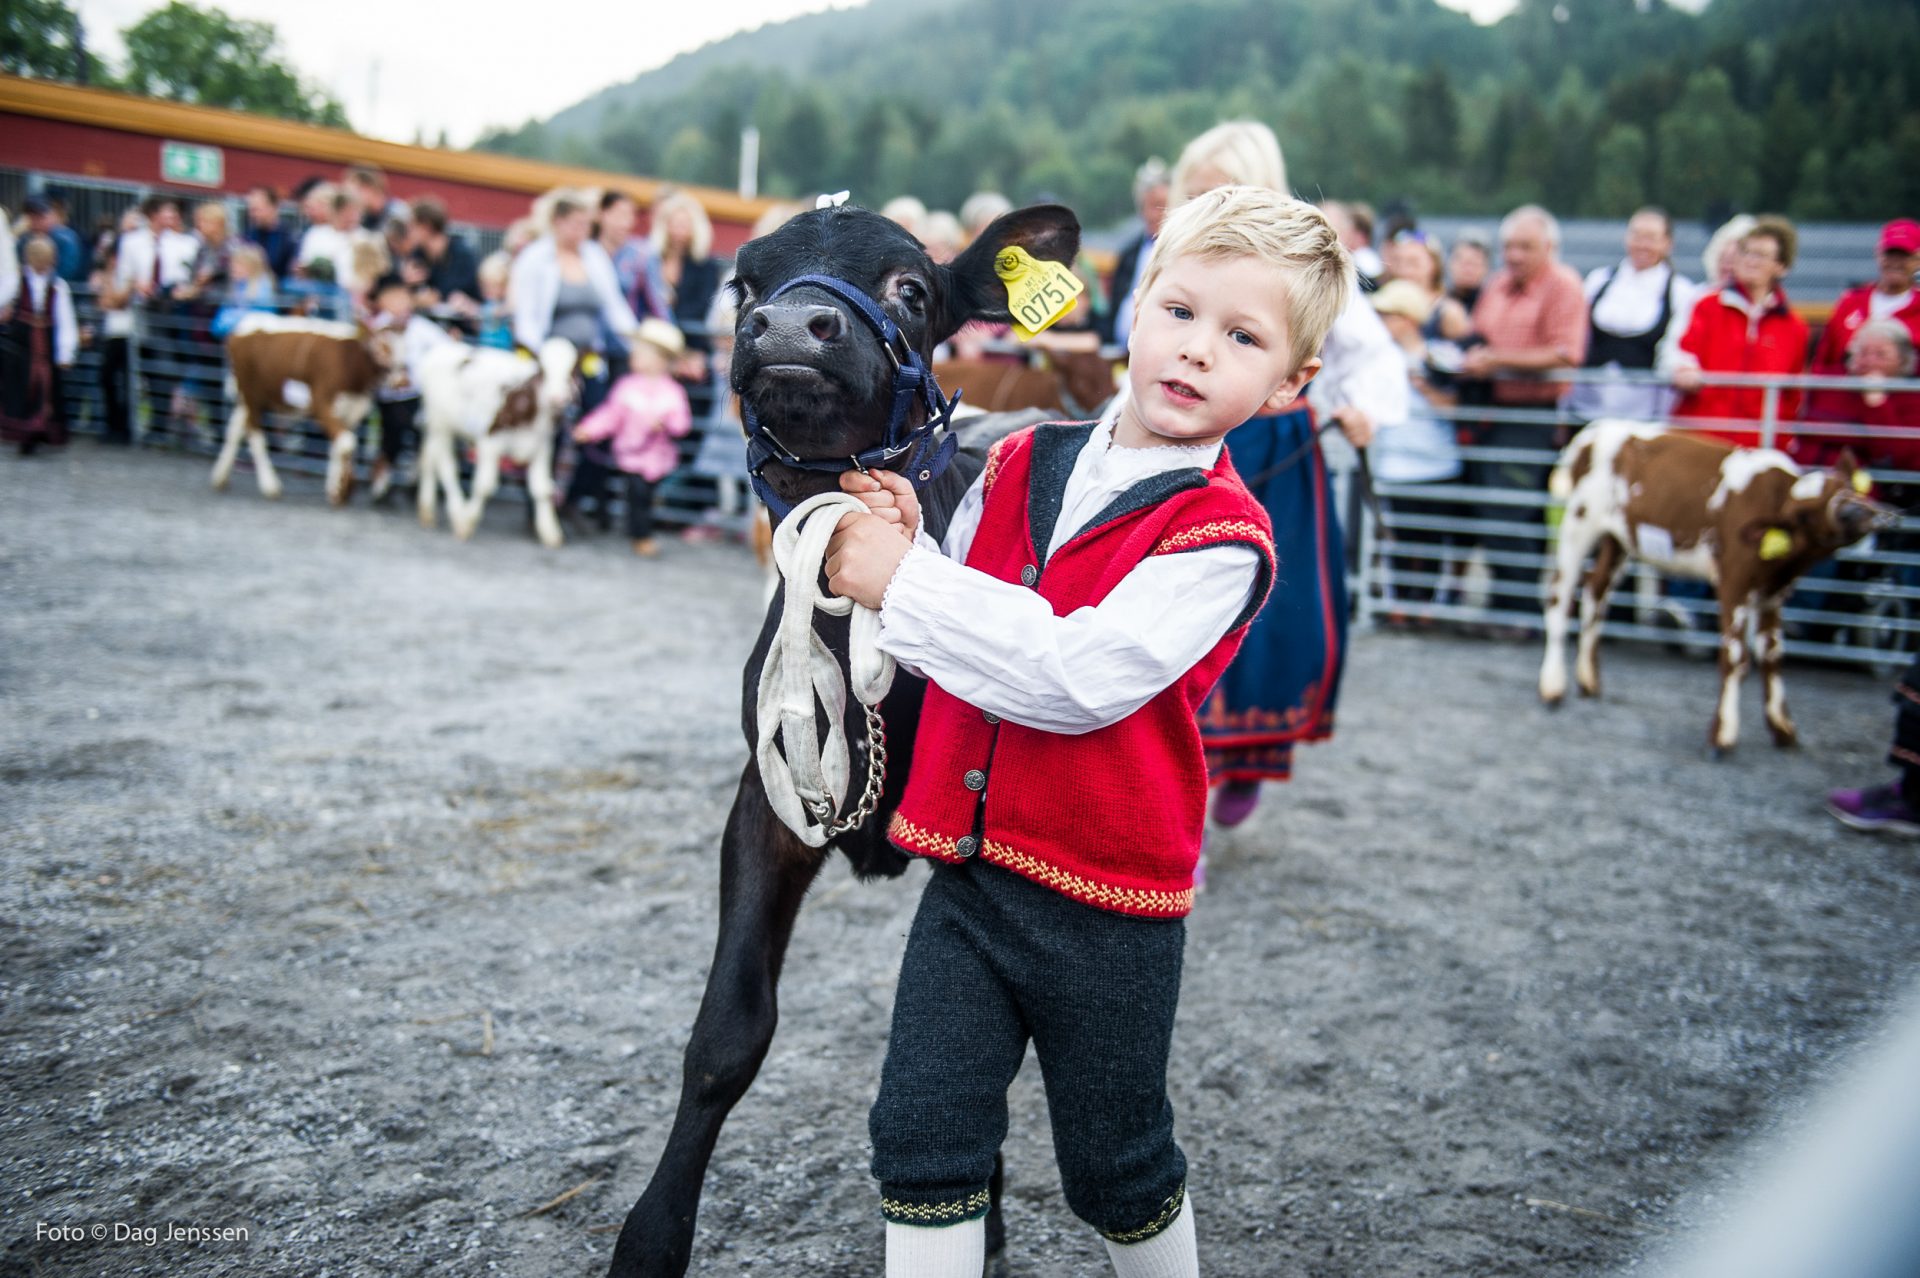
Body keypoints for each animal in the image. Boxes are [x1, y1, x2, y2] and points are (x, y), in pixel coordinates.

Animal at [212, 312, 403, 502]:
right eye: (380, 345)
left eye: (404, 347)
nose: (400, 380)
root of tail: (247, 322)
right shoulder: (321, 402)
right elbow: (347, 443)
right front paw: (343, 486)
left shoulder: (351, 410)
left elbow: (339, 447)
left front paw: (336, 489)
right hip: (251, 394)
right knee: (254, 433)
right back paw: (270, 485)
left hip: (248, 398)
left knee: (235, 429)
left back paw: (220, 476)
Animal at [414, 335, 576, 544]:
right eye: (542, 369)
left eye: (572, 370)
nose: (557, 398)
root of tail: (442, 348)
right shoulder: (489, 441)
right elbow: (485, 485)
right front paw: (468, 522)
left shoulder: (542, 446)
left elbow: (542, 488)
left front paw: (550, 532)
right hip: (441, 424)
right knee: (446, 467)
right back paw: (458, 514)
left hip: (437, 426)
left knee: (429, 460)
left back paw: (427, 512)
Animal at [1536, 418, 1896, 752]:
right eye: (1803, 515)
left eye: (1846, 486)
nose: (1856, 513)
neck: (1775, 498)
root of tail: (1593, 430)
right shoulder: (1734, 579)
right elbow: (1735, 656)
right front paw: (1723, 735)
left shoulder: (1772, 591)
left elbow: (1772, 653)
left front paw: (1783, 728)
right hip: (1580, 520)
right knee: (1560, 592)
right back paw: (1552, 686)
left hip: (1617, 538)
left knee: (1595, 592)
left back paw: (1589, 680)